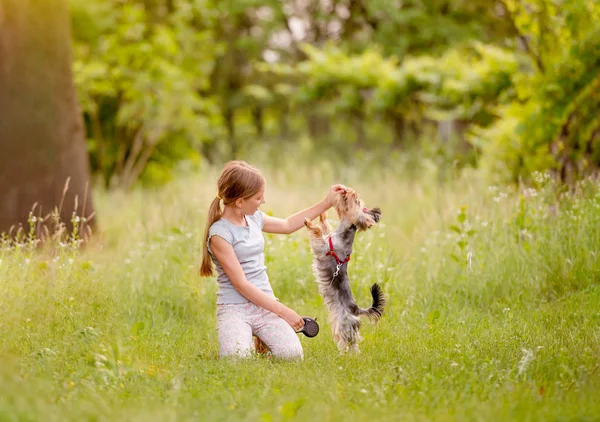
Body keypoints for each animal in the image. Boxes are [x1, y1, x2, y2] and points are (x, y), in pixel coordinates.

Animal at [304, 188, 384, 352]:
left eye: (356, 201)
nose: (351, 191)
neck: (341, 233)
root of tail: (356, 308)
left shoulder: (322, 246)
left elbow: (317, 231)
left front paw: (309, 222)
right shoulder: (326, 236)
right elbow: (324, 225)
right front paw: (322, 214)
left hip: (344, 322)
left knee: (350, 339)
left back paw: (349, 353)